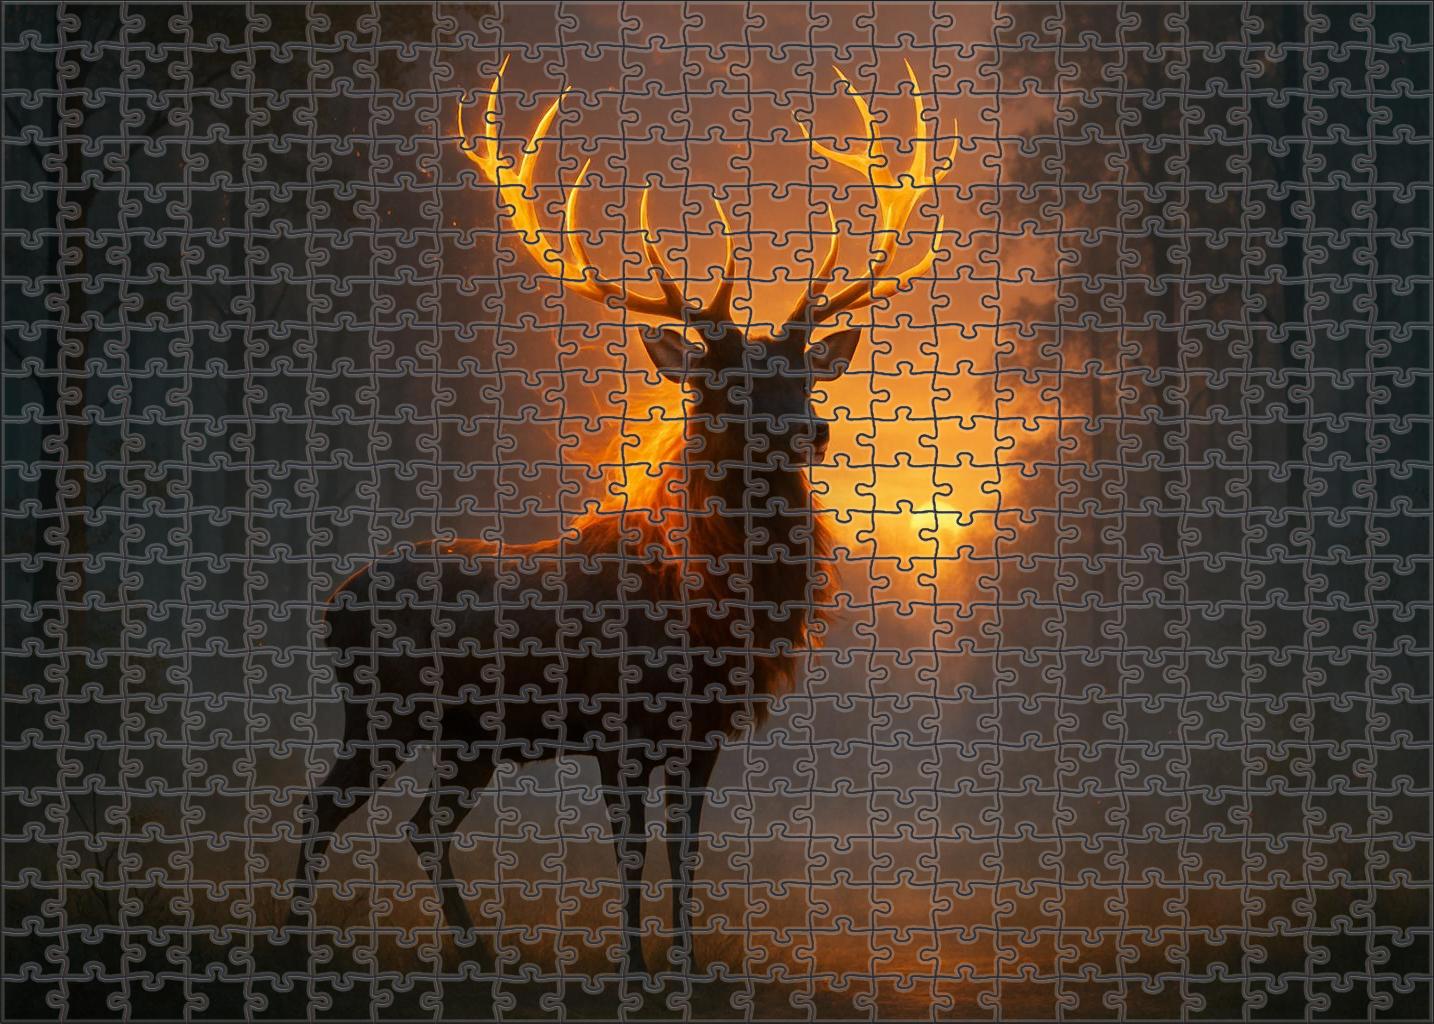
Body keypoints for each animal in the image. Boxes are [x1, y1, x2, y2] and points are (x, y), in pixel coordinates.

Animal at [287, 58, 952, 978]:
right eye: (722, 383)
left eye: (803, 377)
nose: (811, 431)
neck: (708, 608)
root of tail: (331, 602)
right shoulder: (618, 724)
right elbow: (631, 849)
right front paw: (635, 963)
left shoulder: (702, 733)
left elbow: (686, 849)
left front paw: (685, 962)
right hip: (382, 708)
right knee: (321, 807)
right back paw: (296, 941)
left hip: (468, 737)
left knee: (422, 825)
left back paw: (476, 949)